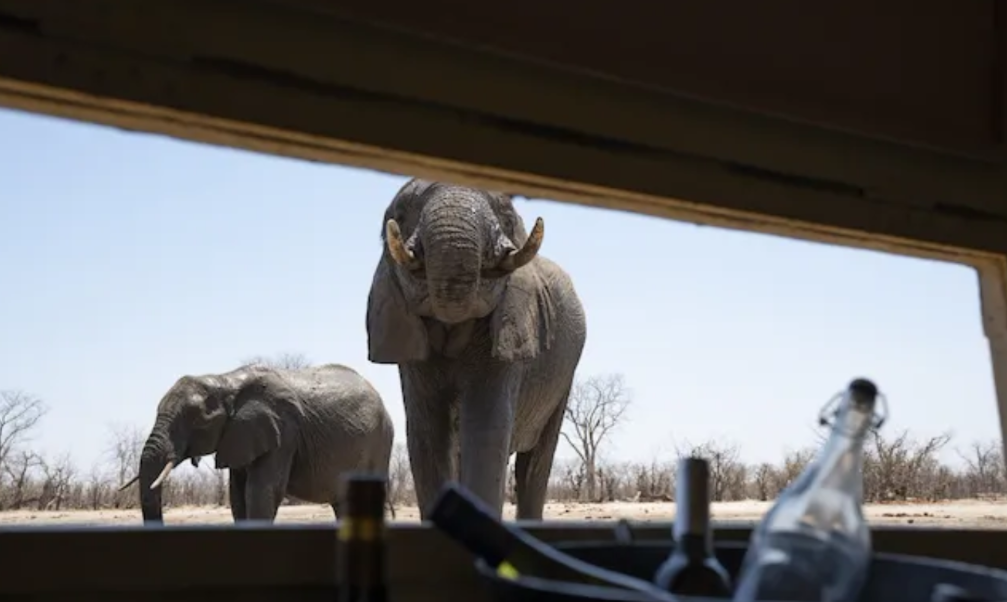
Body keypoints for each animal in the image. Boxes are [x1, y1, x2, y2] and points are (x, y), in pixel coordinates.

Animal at [123, 362, 396, 523]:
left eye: (196, 420)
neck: (226, 381)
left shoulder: (283, 431)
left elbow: (261, 491)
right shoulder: (240, 437)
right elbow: (237, 496)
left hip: (381, 443)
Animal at [365, 178, 587, 520]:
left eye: (507, 217)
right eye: (398, 216)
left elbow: (486, 429)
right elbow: (427, 435)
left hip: (564, 376)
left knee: (534, 463)